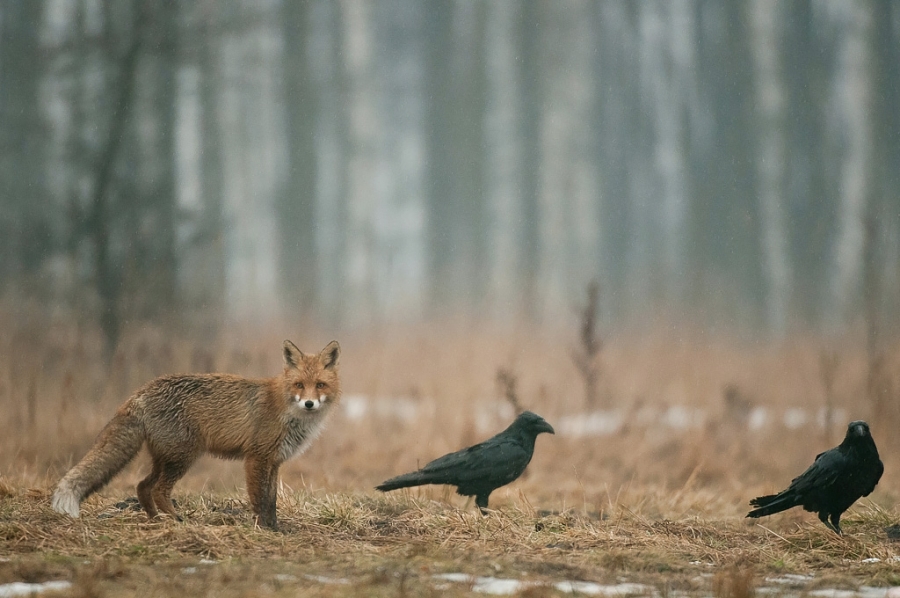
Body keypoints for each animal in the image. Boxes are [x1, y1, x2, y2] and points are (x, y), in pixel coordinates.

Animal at [51, 340, 341, 530]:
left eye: (320, 385)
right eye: (299, 385)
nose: (309, 404)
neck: (287, 411)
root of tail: (141, 391)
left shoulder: (274, 461)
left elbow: (271, 500)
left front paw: (276, 528)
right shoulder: (256, 458)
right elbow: (259, 499)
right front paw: (263, 529)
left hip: (167, 458)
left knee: (143, 486)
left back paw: (156, 520)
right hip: (183, 458)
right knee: (158, 490)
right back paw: (176, 520)